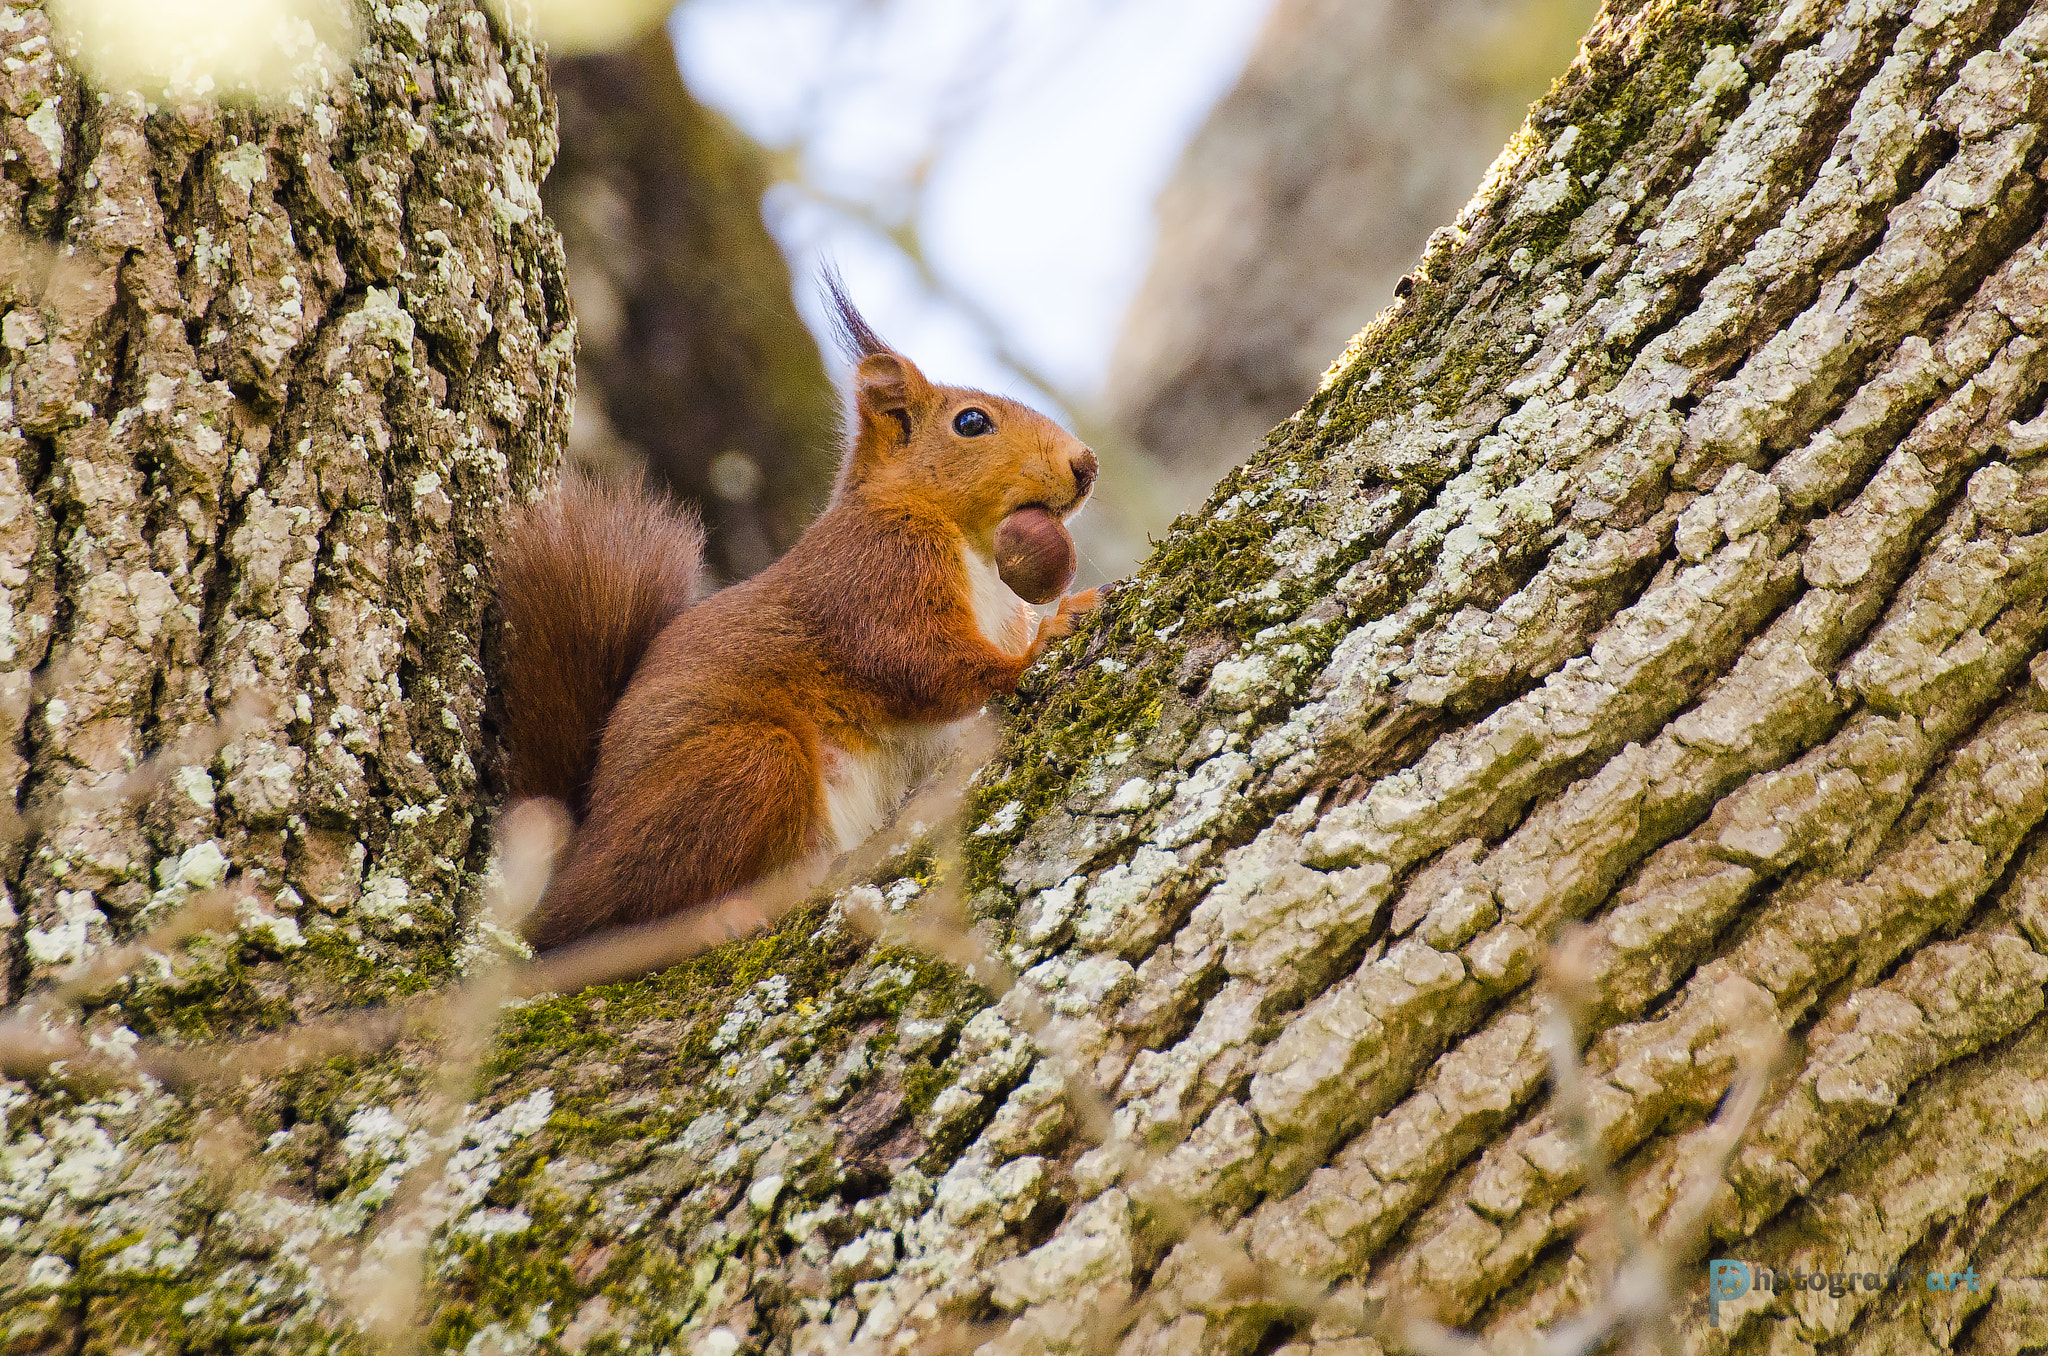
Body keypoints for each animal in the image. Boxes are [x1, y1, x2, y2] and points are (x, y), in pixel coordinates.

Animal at [501, 280, 1097, 950]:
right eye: (972, 422)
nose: (1086, 465)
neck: (971, 545)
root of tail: (572, 871)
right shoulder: (877, 568)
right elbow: (920, 662)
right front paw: (1050, 633)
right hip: (748, 764)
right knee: (620, 918)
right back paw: (713, 917)